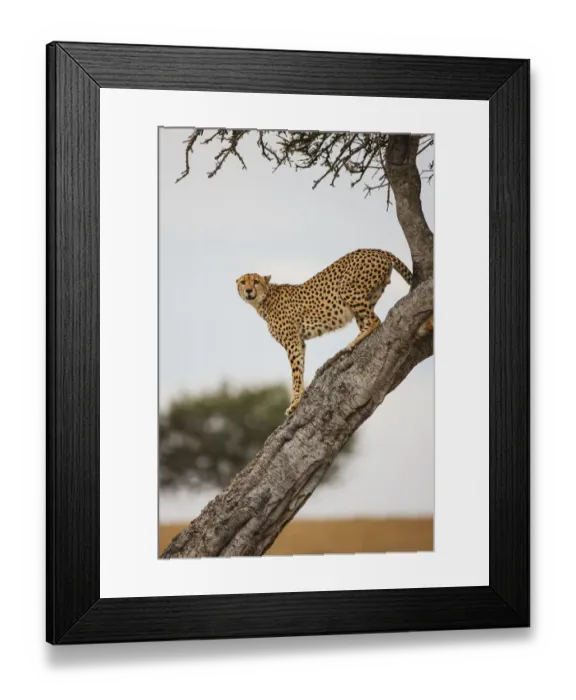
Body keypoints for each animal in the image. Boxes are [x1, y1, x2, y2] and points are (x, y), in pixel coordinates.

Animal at [236, 248, 413, 416]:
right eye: (243, 282)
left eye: (256, 281)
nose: (249, 290)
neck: (263, 300)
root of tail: (377, 250)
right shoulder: (300, 342)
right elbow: (300, 368)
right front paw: (298, 397)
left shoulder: (292, 341)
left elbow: (295, 373)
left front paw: (295, 403)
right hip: (369, 297)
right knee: (368, 319)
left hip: (348, 290)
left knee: (374, 319)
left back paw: (352, 343)